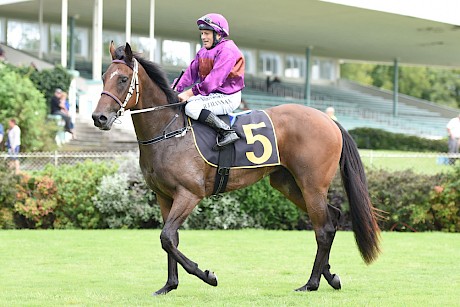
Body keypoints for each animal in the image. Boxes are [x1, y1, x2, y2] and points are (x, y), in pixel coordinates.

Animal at [90, 42, 380, 296]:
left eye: (123, 79)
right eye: (103, 77)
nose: (98, 118)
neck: (169, 131)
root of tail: (329, 120)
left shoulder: (189, 194)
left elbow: (167, 238)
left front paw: (208, 276)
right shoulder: (164, 196)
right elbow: (171, 239)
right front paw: (169, 285)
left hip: (312, 185)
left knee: (323, 229)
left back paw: (311, 283)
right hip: (288, 184)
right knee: (331, 218)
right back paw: (329, 276)